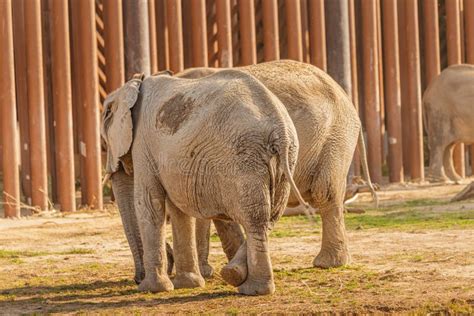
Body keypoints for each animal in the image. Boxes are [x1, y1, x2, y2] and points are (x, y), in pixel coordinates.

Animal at [101, 70, 308, 296]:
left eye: (105, 139)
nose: (137, 279)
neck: (134, 84)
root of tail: (280, 127)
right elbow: (178, 210)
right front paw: (188, 285)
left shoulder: (143, 144)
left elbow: (149, 203)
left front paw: (153, 289)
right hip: (285, 159)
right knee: (270, 216)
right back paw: (237, 277)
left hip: (244, 160)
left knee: (256, 218)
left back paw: (250, 287)